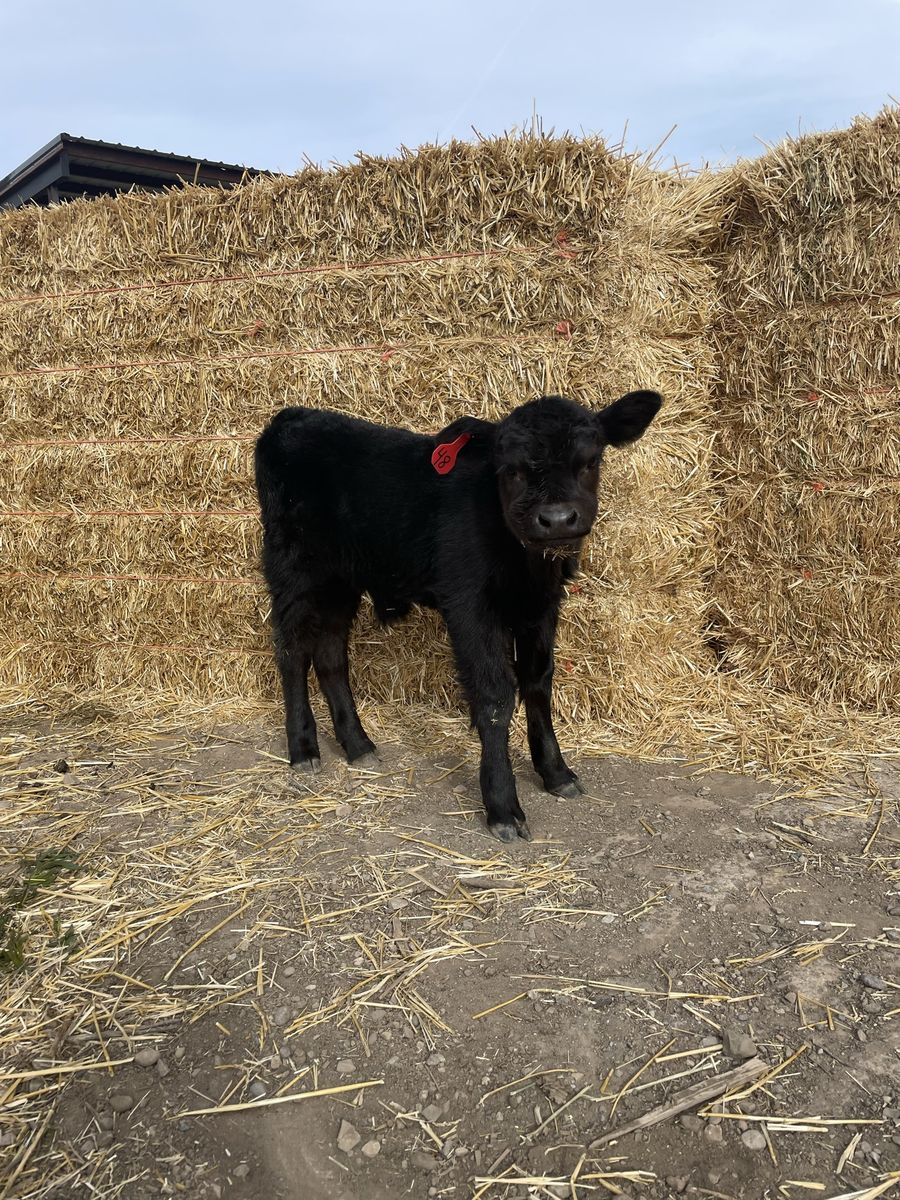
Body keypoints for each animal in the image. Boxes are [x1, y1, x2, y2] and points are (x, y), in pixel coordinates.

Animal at [254, 391, 662, 842]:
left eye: (589, 461)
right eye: (511, 469)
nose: (556, 519)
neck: (525, 565)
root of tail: (293, 416)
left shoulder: (541, 606)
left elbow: (538, 683)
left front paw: (556, 773)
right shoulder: (470, 607)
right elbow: (495, 696)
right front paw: (503, 806)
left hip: (342, 579)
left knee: (329, 655)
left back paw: (358, 745)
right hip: (294, 568)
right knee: (292, 652)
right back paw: (303, 749)